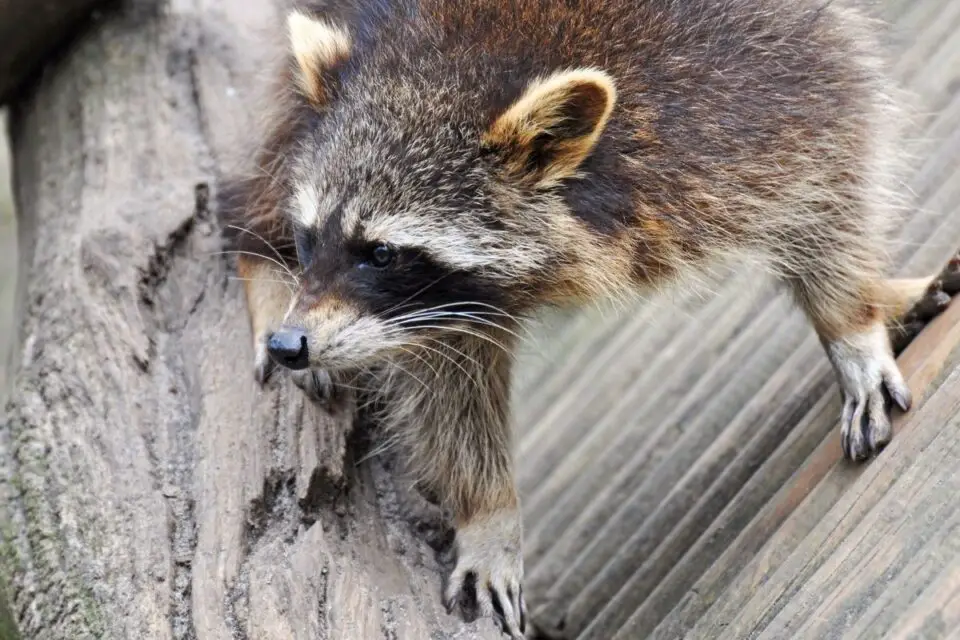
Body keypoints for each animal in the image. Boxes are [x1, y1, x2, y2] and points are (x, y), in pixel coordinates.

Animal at [220, 1, 934, 636]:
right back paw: (258, 254)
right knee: (274, 153)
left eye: (381, 252)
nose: (290, 341)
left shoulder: (745, 84)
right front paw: (489, 513)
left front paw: (852, 322)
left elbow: (827, 168)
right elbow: (450, 387)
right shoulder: (432, 305)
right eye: (311, 238)